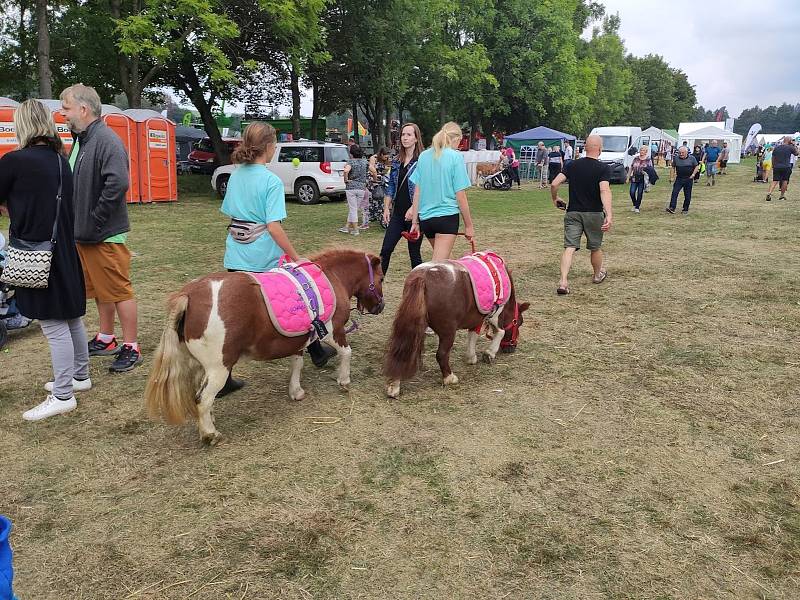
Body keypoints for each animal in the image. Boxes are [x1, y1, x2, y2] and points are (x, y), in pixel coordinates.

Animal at [146, 250, 384, 446]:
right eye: (381, 278)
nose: (380, 307)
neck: (331, 277)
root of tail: (190, 296)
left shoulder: (298, 340)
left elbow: (297, 364)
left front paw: (296, 391)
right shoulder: (333, 331)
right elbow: (346, 352)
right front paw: (344, 380)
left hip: (200, 366)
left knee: (202, 397)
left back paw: (208, 422)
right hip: (219, 368)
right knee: (202, 398)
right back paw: (210, 435)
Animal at [382, 262, 528, 398]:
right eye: (519, 322)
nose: (512, 348)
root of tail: (423, 277)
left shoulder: (476, 319)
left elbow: (473, 335)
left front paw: (471, 357)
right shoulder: (495, 313)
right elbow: (500, 331)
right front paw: (489, 353)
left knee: (402, 351)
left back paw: (394, 386)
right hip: (448, 332)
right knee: (441, 354)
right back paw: (449, 378)